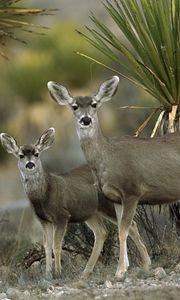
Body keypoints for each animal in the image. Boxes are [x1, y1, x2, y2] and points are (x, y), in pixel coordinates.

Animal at [0, 127, 150, 280]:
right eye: (20, 155)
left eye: (36, 153)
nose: (30, 164)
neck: (43, 195)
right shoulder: (43, 219)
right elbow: (47, 246)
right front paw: (47, 274)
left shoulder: (61, 215)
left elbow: (56, 245)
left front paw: (58, 273)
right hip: (90, 212)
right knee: (102, 232)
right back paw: (86, 272)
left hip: (107, 205)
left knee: (130, 224)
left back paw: (145, 264)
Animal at [47, 76, 180, 280]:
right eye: (74, 106)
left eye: (94, 104)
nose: (86, 119)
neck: (108, 159)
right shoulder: (115, 198)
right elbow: (123, 229)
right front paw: (128, 266)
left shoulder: (132, 191)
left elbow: (123, 230)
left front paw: (120, 270)